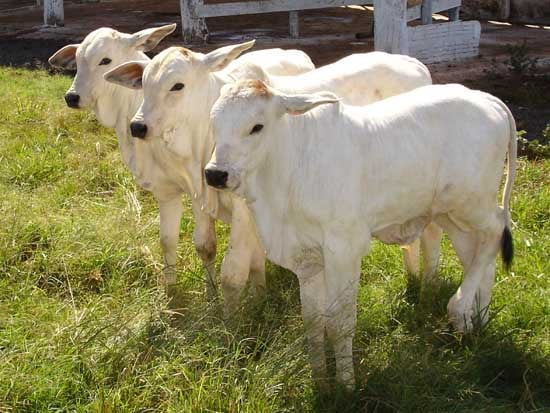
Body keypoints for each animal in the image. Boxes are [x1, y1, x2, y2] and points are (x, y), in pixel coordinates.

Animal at [49, 26, 316, 296]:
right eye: (144, 84)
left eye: (105, 60)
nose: (72, 97)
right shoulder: (175, 190)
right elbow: (182, 242)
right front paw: (178, 294)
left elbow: (229, 261)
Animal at [105, 48, 444, 308]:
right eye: (143, 84)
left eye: (178, 85)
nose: (138, 126)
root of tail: (414, 64)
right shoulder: (204, 196)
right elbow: (205, 246)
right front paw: (245, 296)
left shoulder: (245, 207)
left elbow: (234, 272)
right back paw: (413, 278)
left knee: (431, 232)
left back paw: (428, 286)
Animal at [205, 79, 520, 390]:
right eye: (214, 122)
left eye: (256, 126)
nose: (215, 174)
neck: (289, 168)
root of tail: (487, 99)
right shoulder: (307, 258)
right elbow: (313, 321)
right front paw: (320, 380)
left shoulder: (344, 250)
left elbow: (339, 324)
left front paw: (346, 386)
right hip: (452, 216)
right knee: (479, 258)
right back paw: (477, 321)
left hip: (472, 203)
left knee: (496, 230)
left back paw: (459, 307)